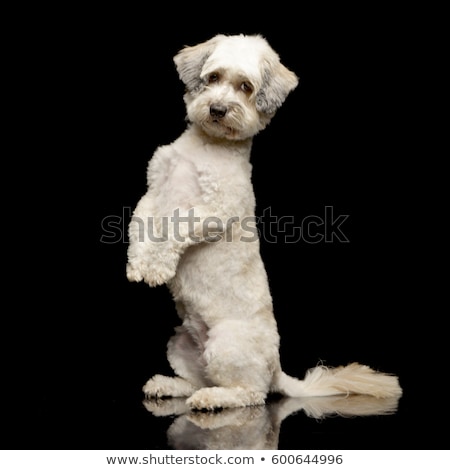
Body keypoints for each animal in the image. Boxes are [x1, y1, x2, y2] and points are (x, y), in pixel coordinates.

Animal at [125, 33, 402, 410]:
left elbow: (173, 230)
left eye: (245, 87)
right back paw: (168, 385)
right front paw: (139, 264)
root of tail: (275, 367)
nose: (218, 109)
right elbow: (140, 226)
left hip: (226, 345)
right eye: (213, 78)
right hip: (180, 343)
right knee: (197, 378)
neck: (206, 147)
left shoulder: (215, 210)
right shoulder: (153, 193)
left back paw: (212, 397)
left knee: (250, 394)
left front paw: (156, 267)